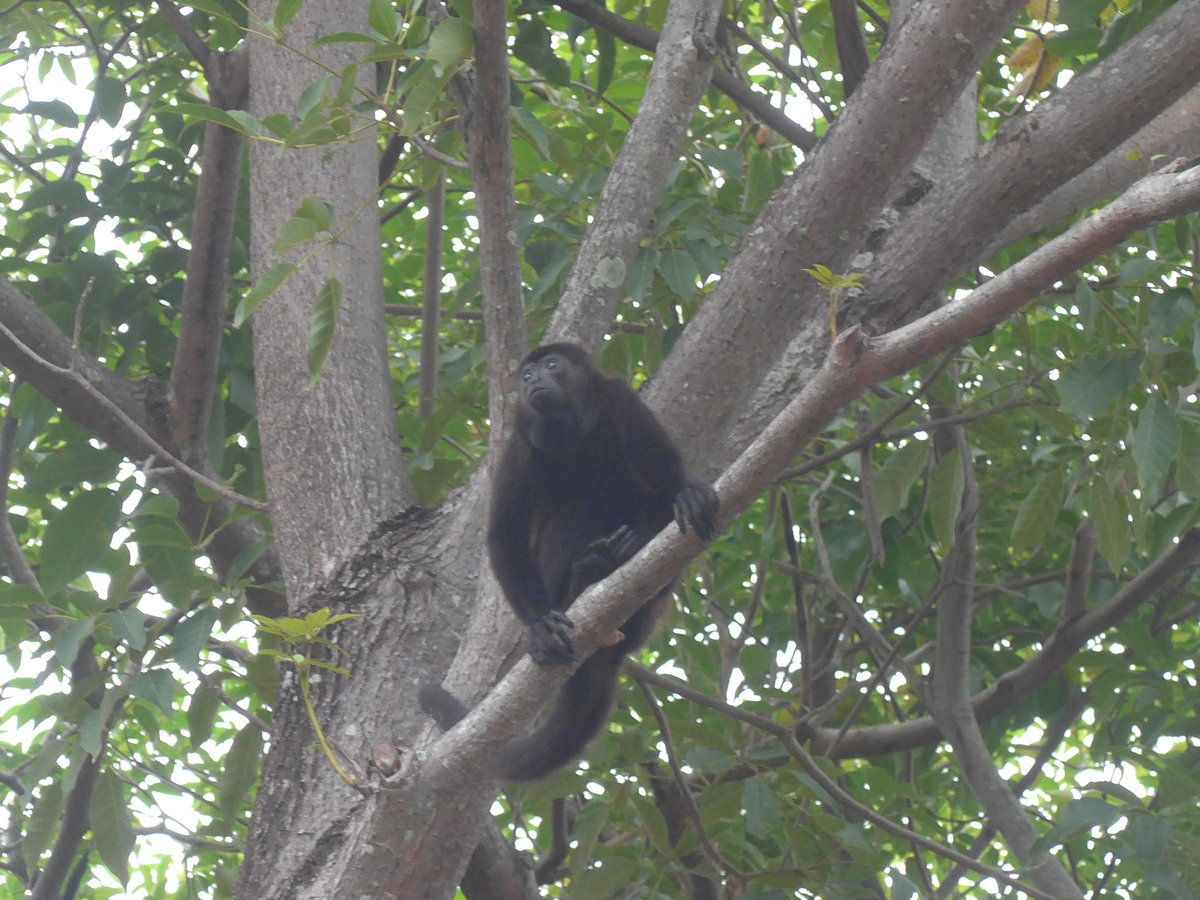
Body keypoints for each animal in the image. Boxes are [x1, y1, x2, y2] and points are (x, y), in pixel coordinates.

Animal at [419, 343, 718, 780]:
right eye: (526, 375)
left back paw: (626, 551)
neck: (572, 432)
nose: (534, 380)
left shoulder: (623, 403)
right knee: (574, 512)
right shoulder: (518, 442)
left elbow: (668, 479)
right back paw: (588, 574)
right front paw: (541, 626)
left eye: (552, 365)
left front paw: (685, 499)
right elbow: (504, 534)